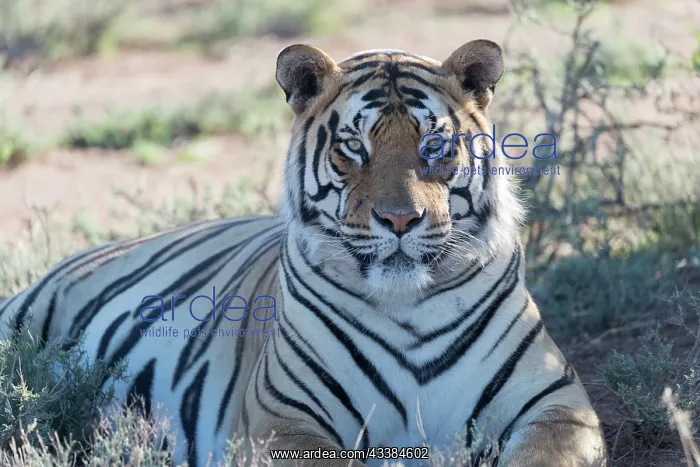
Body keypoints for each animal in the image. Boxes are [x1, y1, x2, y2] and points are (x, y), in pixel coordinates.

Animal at [0, 40, 608, 466]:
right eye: (354, 147)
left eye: (434, 145)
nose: (400, 220)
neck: (410, 304)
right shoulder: (286, 417)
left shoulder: (556, 403)